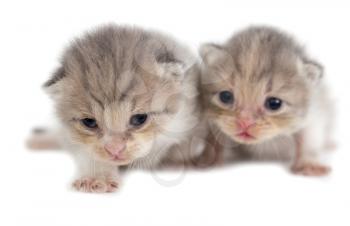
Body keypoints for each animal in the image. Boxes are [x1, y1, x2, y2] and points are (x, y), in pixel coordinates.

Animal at [200, 26, 334, 175]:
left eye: (274, 104)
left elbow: (309, 137)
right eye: (226, 96)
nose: (245, 122)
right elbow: (214, 137)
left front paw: (308, 162)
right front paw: (210, 158)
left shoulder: (314, 111)